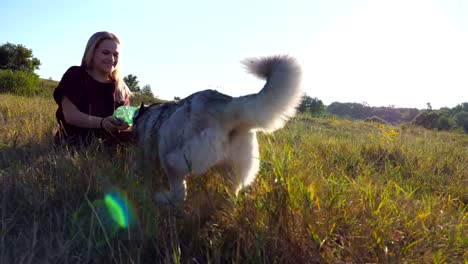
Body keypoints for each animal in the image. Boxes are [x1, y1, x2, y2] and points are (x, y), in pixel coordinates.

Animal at [132, 55, 302, 204]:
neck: (149, 115)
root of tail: (226, 104)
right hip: (234, 168)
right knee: (233, 191)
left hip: (175, 160)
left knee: (179, 192)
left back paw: (164, 198)